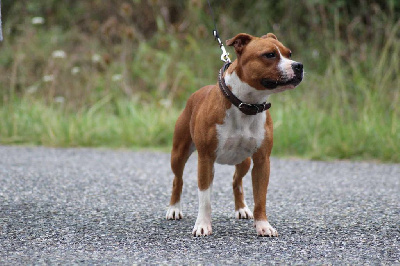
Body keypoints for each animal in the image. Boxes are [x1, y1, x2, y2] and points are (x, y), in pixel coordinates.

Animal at [166, 32, 304, 236]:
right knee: (178, 179)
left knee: (236, 181)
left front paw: (263, 225)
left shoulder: (262, 161)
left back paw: (242, 209)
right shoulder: (205, 158)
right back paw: (174, 208)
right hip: (179, 153)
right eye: (270, 55)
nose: (299, 65)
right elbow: (204, 198)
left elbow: (260, 197)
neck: (246, 104)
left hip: (244, 161)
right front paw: (202, 225)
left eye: (289, 54)